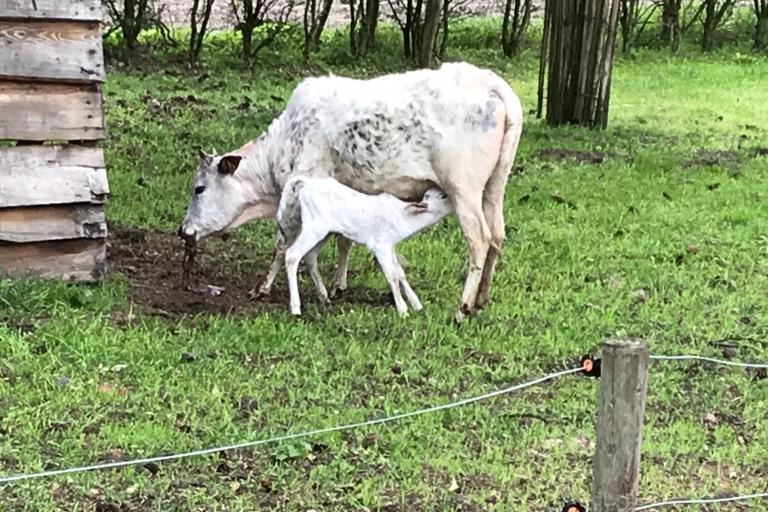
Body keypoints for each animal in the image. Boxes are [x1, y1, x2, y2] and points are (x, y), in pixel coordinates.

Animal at [182, 61, 520, 320]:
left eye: (199, 188)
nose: (183, 230)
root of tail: (493, 84)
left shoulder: (302, 183)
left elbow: (282, 241)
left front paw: (262, 287)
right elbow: (344, 239)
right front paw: (337, 284)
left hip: (464, 188)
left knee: (479, 239)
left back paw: (463, 307)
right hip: (494, 188)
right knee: (497, 235)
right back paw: (481, 299)